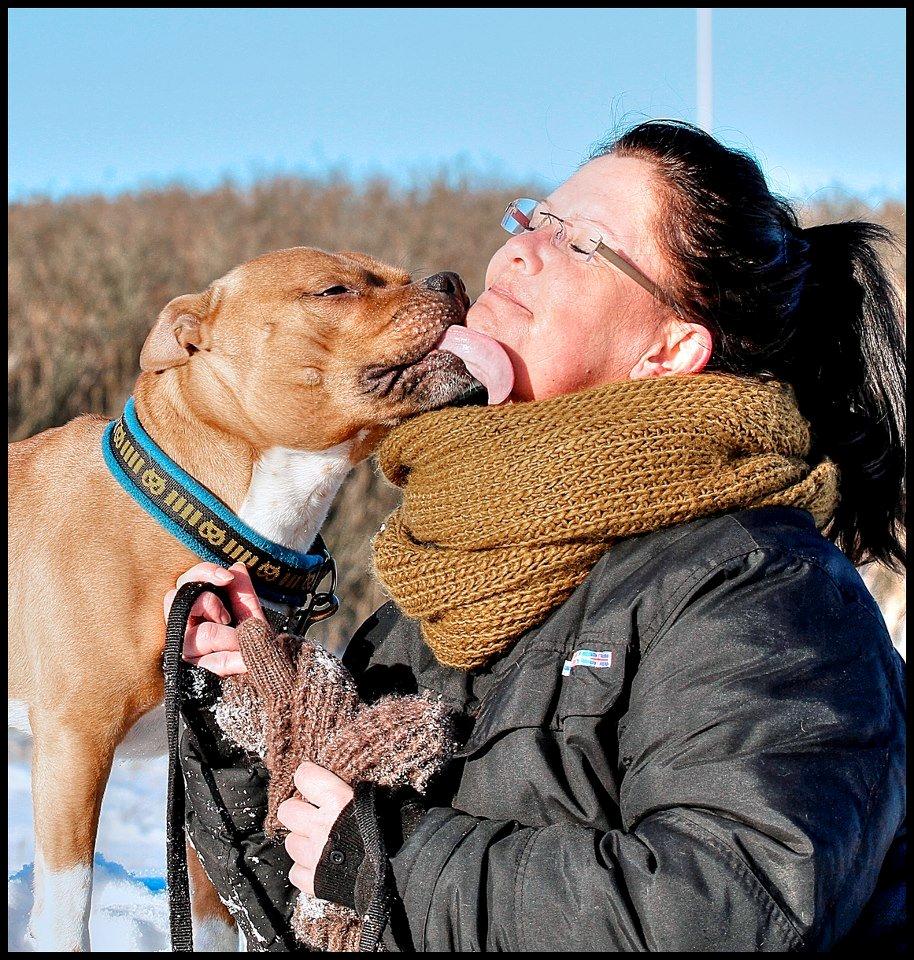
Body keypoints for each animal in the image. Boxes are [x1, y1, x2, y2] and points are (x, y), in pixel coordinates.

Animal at [7, 244, 510, 948]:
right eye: (334, 290)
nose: (452, 281)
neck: (202, 518)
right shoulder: (72, 748)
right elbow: (65, 913)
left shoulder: (196, 770)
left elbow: (217, 914)